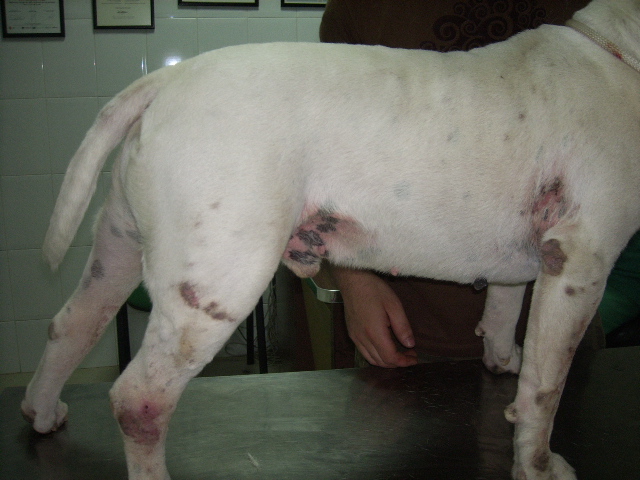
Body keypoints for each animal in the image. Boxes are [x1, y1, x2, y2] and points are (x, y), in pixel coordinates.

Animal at [20, 0, 640, 478]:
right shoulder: (579, 264)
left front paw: (501, 361)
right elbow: (546, 389)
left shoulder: (528, 264)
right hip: (219, 282)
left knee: (72, 324)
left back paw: (41, 411)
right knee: (139, 401)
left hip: (119, 249)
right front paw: (538, 465)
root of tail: (165, 78)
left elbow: (504, 317)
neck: (618, 49)